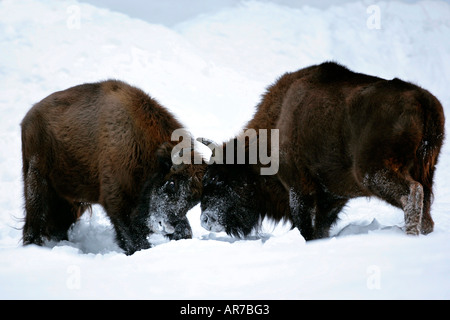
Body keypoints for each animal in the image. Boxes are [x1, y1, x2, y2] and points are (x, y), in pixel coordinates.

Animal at [20, 80, 204, 255]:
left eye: (194, 200)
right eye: (172, 184)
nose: (168, 226)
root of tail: (28, 118)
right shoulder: (118, 201)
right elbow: (133, 238)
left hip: (70, 197)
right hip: (37, 179)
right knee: (34, 219)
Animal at [200, 61, 442, 239]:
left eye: (222, 179)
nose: (205, 220)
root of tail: (423, 100)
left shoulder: (300, 189)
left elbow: (307, 227)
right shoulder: (331, 198)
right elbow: (320, 228)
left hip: (374, 174)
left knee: (412, 193)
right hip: (426, 172)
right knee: (426, 206)